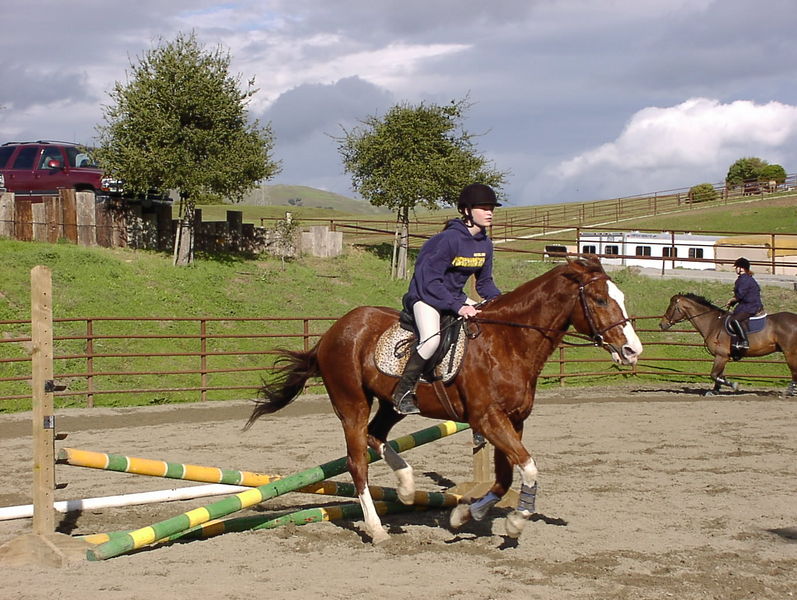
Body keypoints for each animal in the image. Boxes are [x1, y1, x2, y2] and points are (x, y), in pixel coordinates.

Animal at [245, 256, 643, 543]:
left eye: (622, 299)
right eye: (599, 299)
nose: (632, 351)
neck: (510, 342)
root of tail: (334, 331)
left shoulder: (513, 421)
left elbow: (505, 478)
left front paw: (466, 514)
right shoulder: (488, 420)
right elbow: (528, 467)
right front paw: (514, 523)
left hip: (393, 404)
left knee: (377, 435)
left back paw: (407, 489)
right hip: (351, 403)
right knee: (357, 461)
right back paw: (376, 528)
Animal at [659, 293, 797, 397]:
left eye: (670, 307)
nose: (662, 324)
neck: (713, 323)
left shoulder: (721, 356)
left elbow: (714, 375)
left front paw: (733, 385)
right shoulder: (723, 357)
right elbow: (718, 375)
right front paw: (714, 391)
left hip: (790, 353)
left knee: (794, 371)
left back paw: (790, 391)